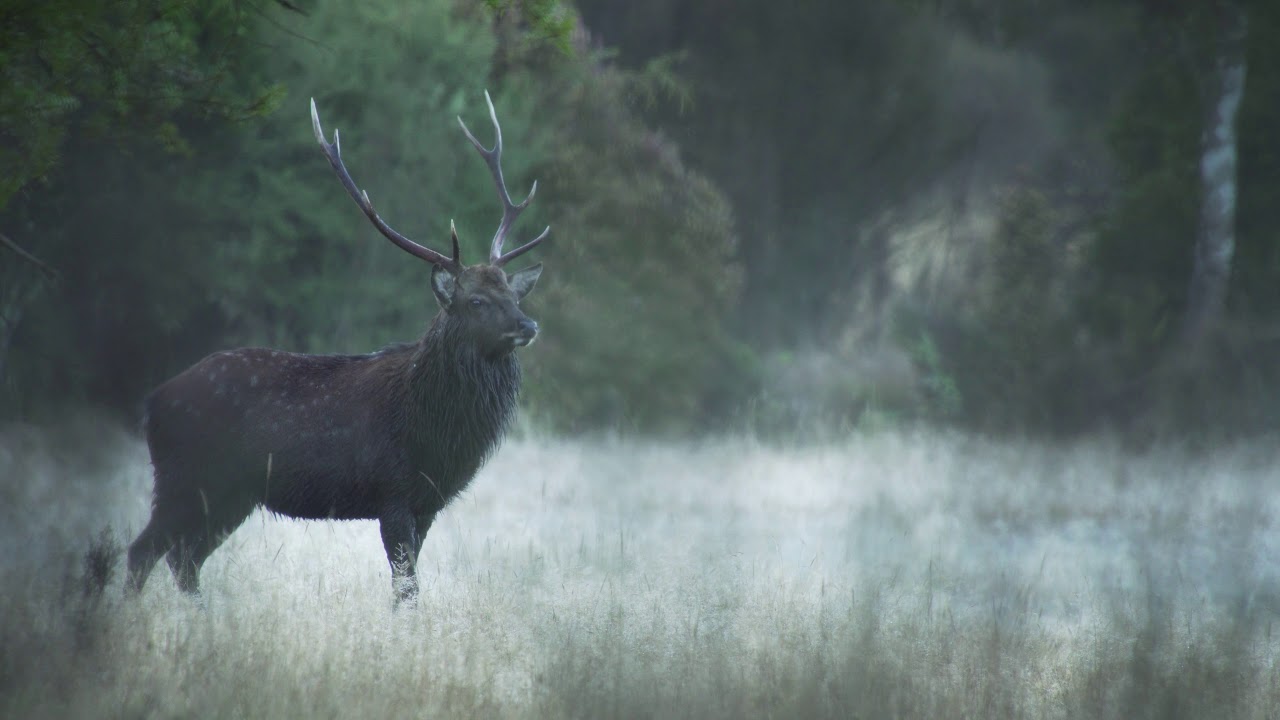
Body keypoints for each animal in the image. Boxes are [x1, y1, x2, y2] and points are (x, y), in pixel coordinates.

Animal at [125, 92, 549, 602]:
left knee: (184, 558)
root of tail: (152, 402)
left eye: (514, 293)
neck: (434, 428)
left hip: (232, 493)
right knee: (143, 551)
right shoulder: (392, 493)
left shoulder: (427, 504)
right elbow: (406, 587)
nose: (528, 324)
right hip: (184, 478)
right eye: (477, 300)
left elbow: (408, 585)